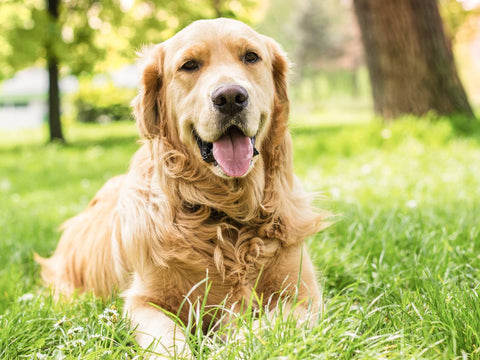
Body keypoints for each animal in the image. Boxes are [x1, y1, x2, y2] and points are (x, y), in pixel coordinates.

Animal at [35, 17, 328, 358]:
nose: (231, 97)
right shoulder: (144, 301)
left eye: (251, 57)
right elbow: (168, 338)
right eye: (189, 65)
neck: (226, 213)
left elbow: (263, 329)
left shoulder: (303, 297)